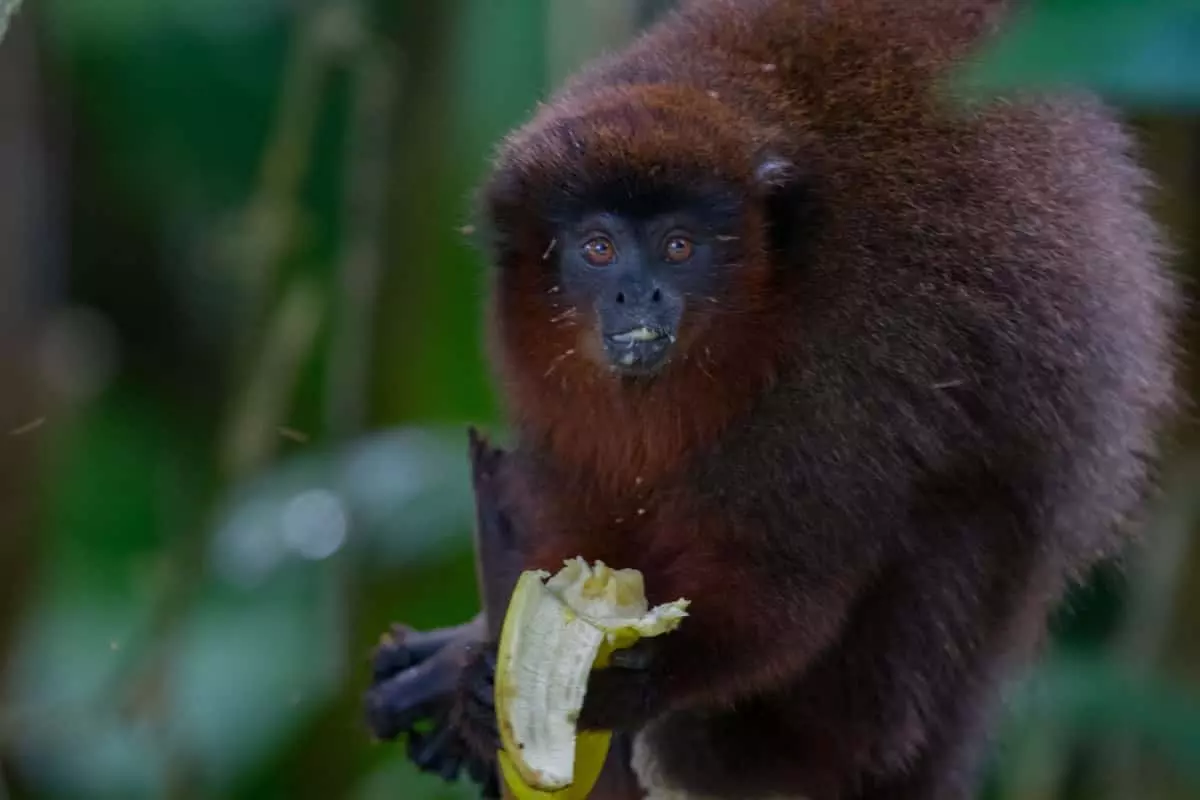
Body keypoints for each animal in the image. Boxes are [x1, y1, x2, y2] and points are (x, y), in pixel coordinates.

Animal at [360, 0, 1176, 796]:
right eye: (598, 248)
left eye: (679, 247)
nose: (637, 293)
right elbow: (578, 525)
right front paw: (483, 661)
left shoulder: (838, 378)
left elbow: (782, 593)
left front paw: (622, 688)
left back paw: (758, 755)